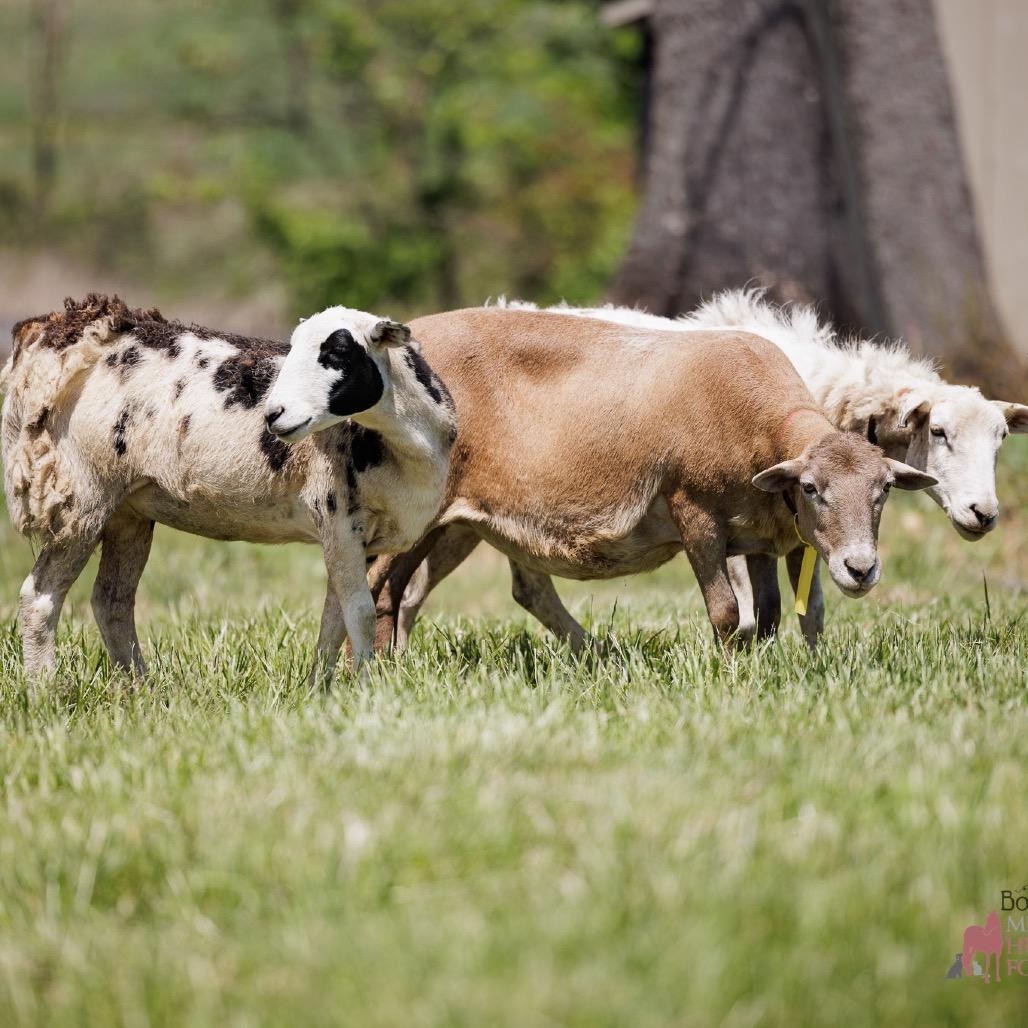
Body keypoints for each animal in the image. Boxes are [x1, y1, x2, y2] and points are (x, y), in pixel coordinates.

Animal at [1, 294, 456, 682]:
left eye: (339, 351)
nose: (274, 414)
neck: (405, 445)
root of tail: (54, 334)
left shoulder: (355, 534)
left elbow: (335, 617)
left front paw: (318, 689)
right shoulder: (338, 516)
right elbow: (359, 612)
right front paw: (363, 687)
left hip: (127, 509)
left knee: (111, 601)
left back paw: (142, 689)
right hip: (81, 493)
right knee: (39, 598)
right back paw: (46, 690)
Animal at [382, 292, 1026, 651]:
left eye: (1000, 441)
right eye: (939, 432)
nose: (984, 513)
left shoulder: (783, 528)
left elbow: (803, 611)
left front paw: (809, 667)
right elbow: (742, 610)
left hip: (473, 520)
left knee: (494, 588)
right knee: (428, 587)